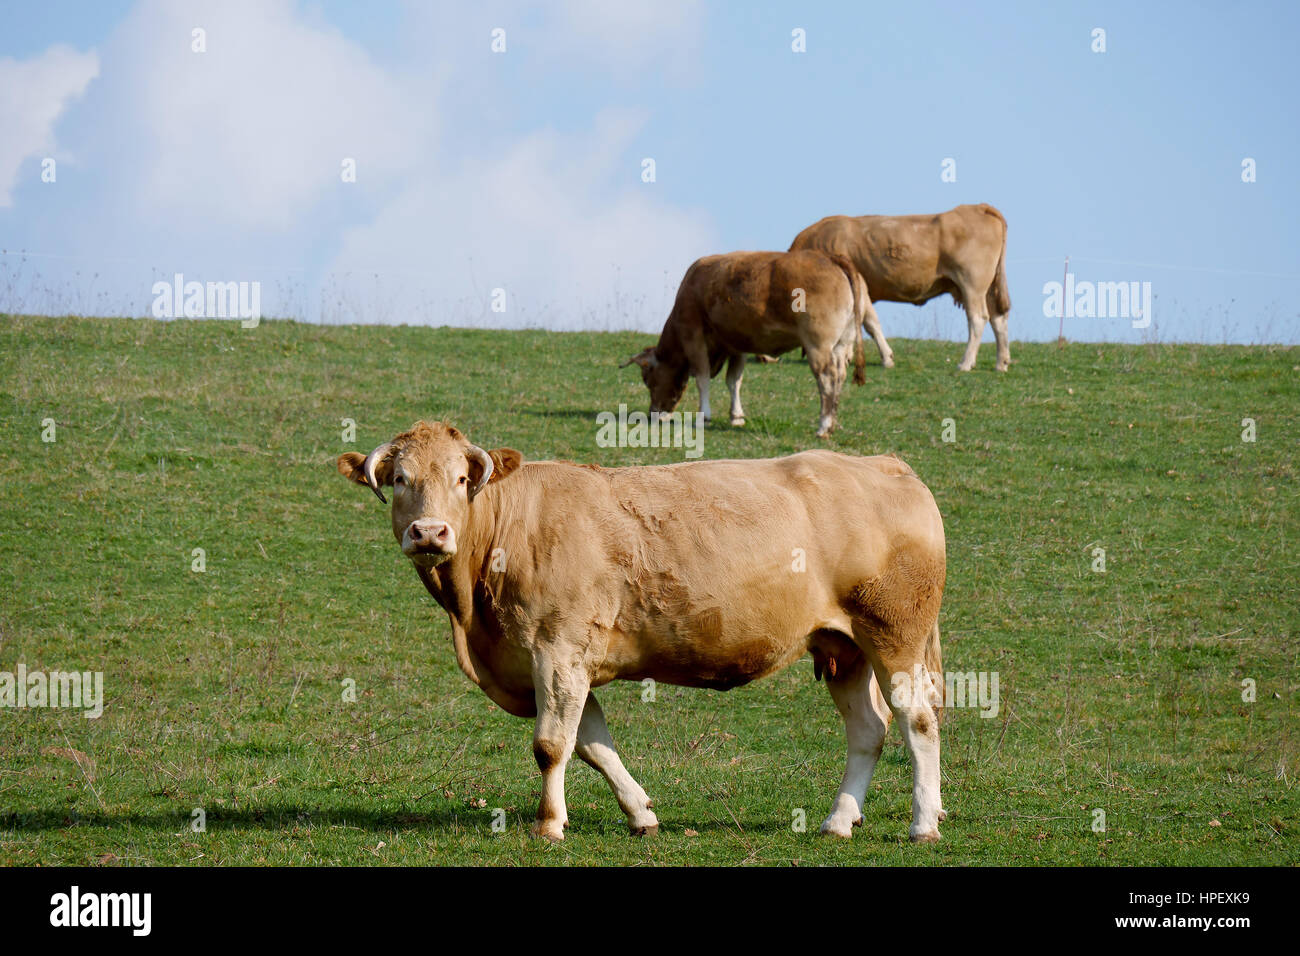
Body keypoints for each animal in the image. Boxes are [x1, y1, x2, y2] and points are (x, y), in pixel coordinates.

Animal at [337, 421, 949, 843]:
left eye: (462, 480)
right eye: (400, 480)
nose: (430, 531)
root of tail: (886, 465)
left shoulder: (559, 650)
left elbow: (551, 745)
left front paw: (549, 825)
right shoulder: (559, 662)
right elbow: (593, 744)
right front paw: (640, 814)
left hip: (895, 635)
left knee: (917, 720)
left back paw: (922, 824)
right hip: (846, 646)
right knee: (868, 729)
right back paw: (838, 820)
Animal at [621, 250, 868, 438]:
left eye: (647, 379)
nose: (653, 413)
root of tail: (831, 257)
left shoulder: (694, 336)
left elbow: (702, 378)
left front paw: (705, 416)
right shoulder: (737, 344)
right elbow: (734, 381)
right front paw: (736, 416)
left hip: (818, 344)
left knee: (827, 378)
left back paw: (823, 426)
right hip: (841, 344)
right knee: (839, 376)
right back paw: (832, 423)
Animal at [790, 203, 1011, 372]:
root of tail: (978, 207)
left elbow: (869, 323)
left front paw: (885, 358)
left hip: (972, 284)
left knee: (978, 319)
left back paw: (965, 363)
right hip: (988, 289)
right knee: (998, 319)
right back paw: (1001, 363)